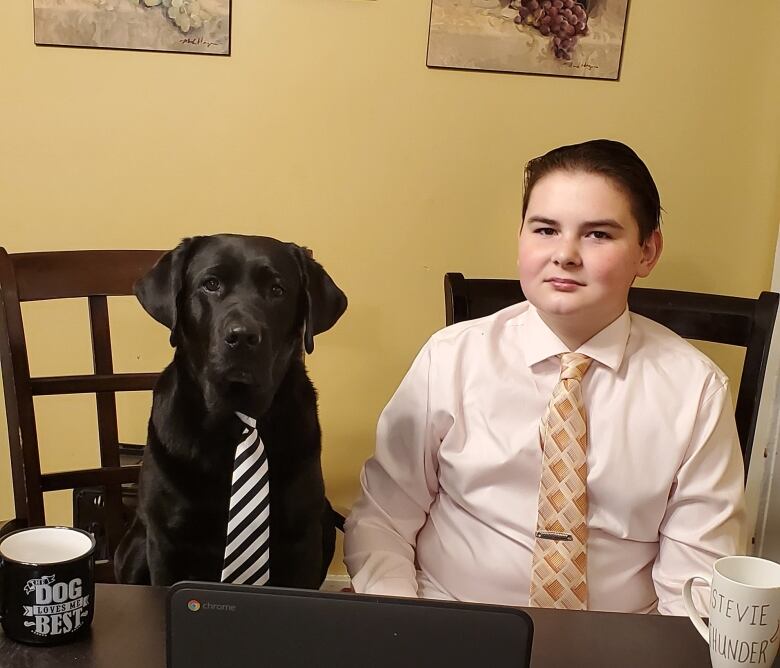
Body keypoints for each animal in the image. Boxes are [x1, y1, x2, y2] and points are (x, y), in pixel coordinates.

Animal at [114, 232, 346, 588]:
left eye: (277, 290)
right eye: (211, 284)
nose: (243, 336)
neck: (239, 420)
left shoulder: (303, 539)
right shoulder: (165, 541)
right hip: (138, 543)